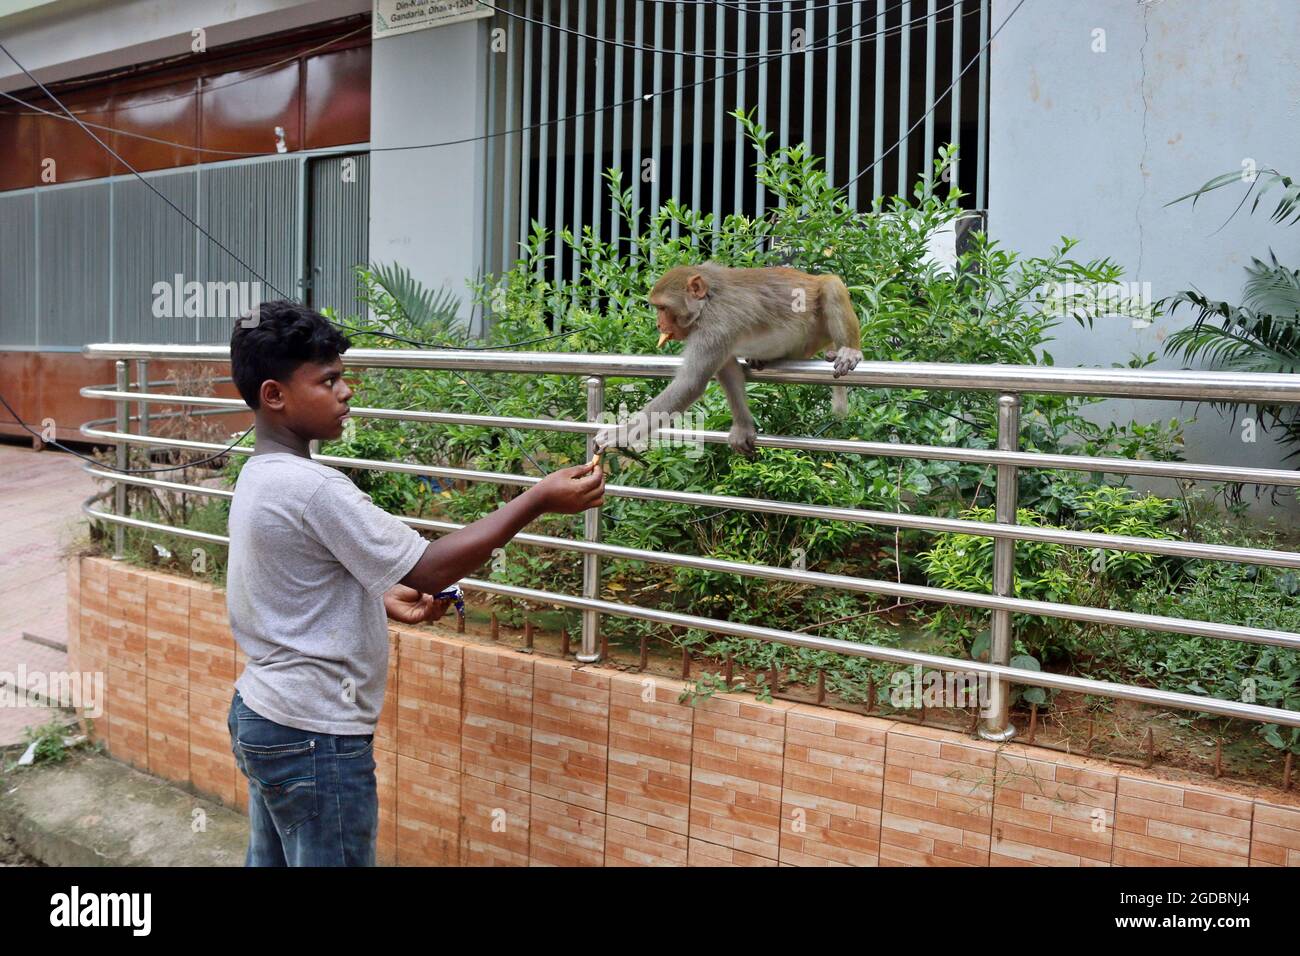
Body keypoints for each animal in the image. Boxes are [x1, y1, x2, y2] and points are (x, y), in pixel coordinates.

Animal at [595, 260, 863, 457]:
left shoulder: (715, 326)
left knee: (831, 285)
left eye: (662, 308)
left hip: (818, 328)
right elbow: (727, 368)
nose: (659, 325)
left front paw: (620, 433)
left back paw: (849, 350)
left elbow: (690, 383)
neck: (708, 301)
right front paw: (743, 427)